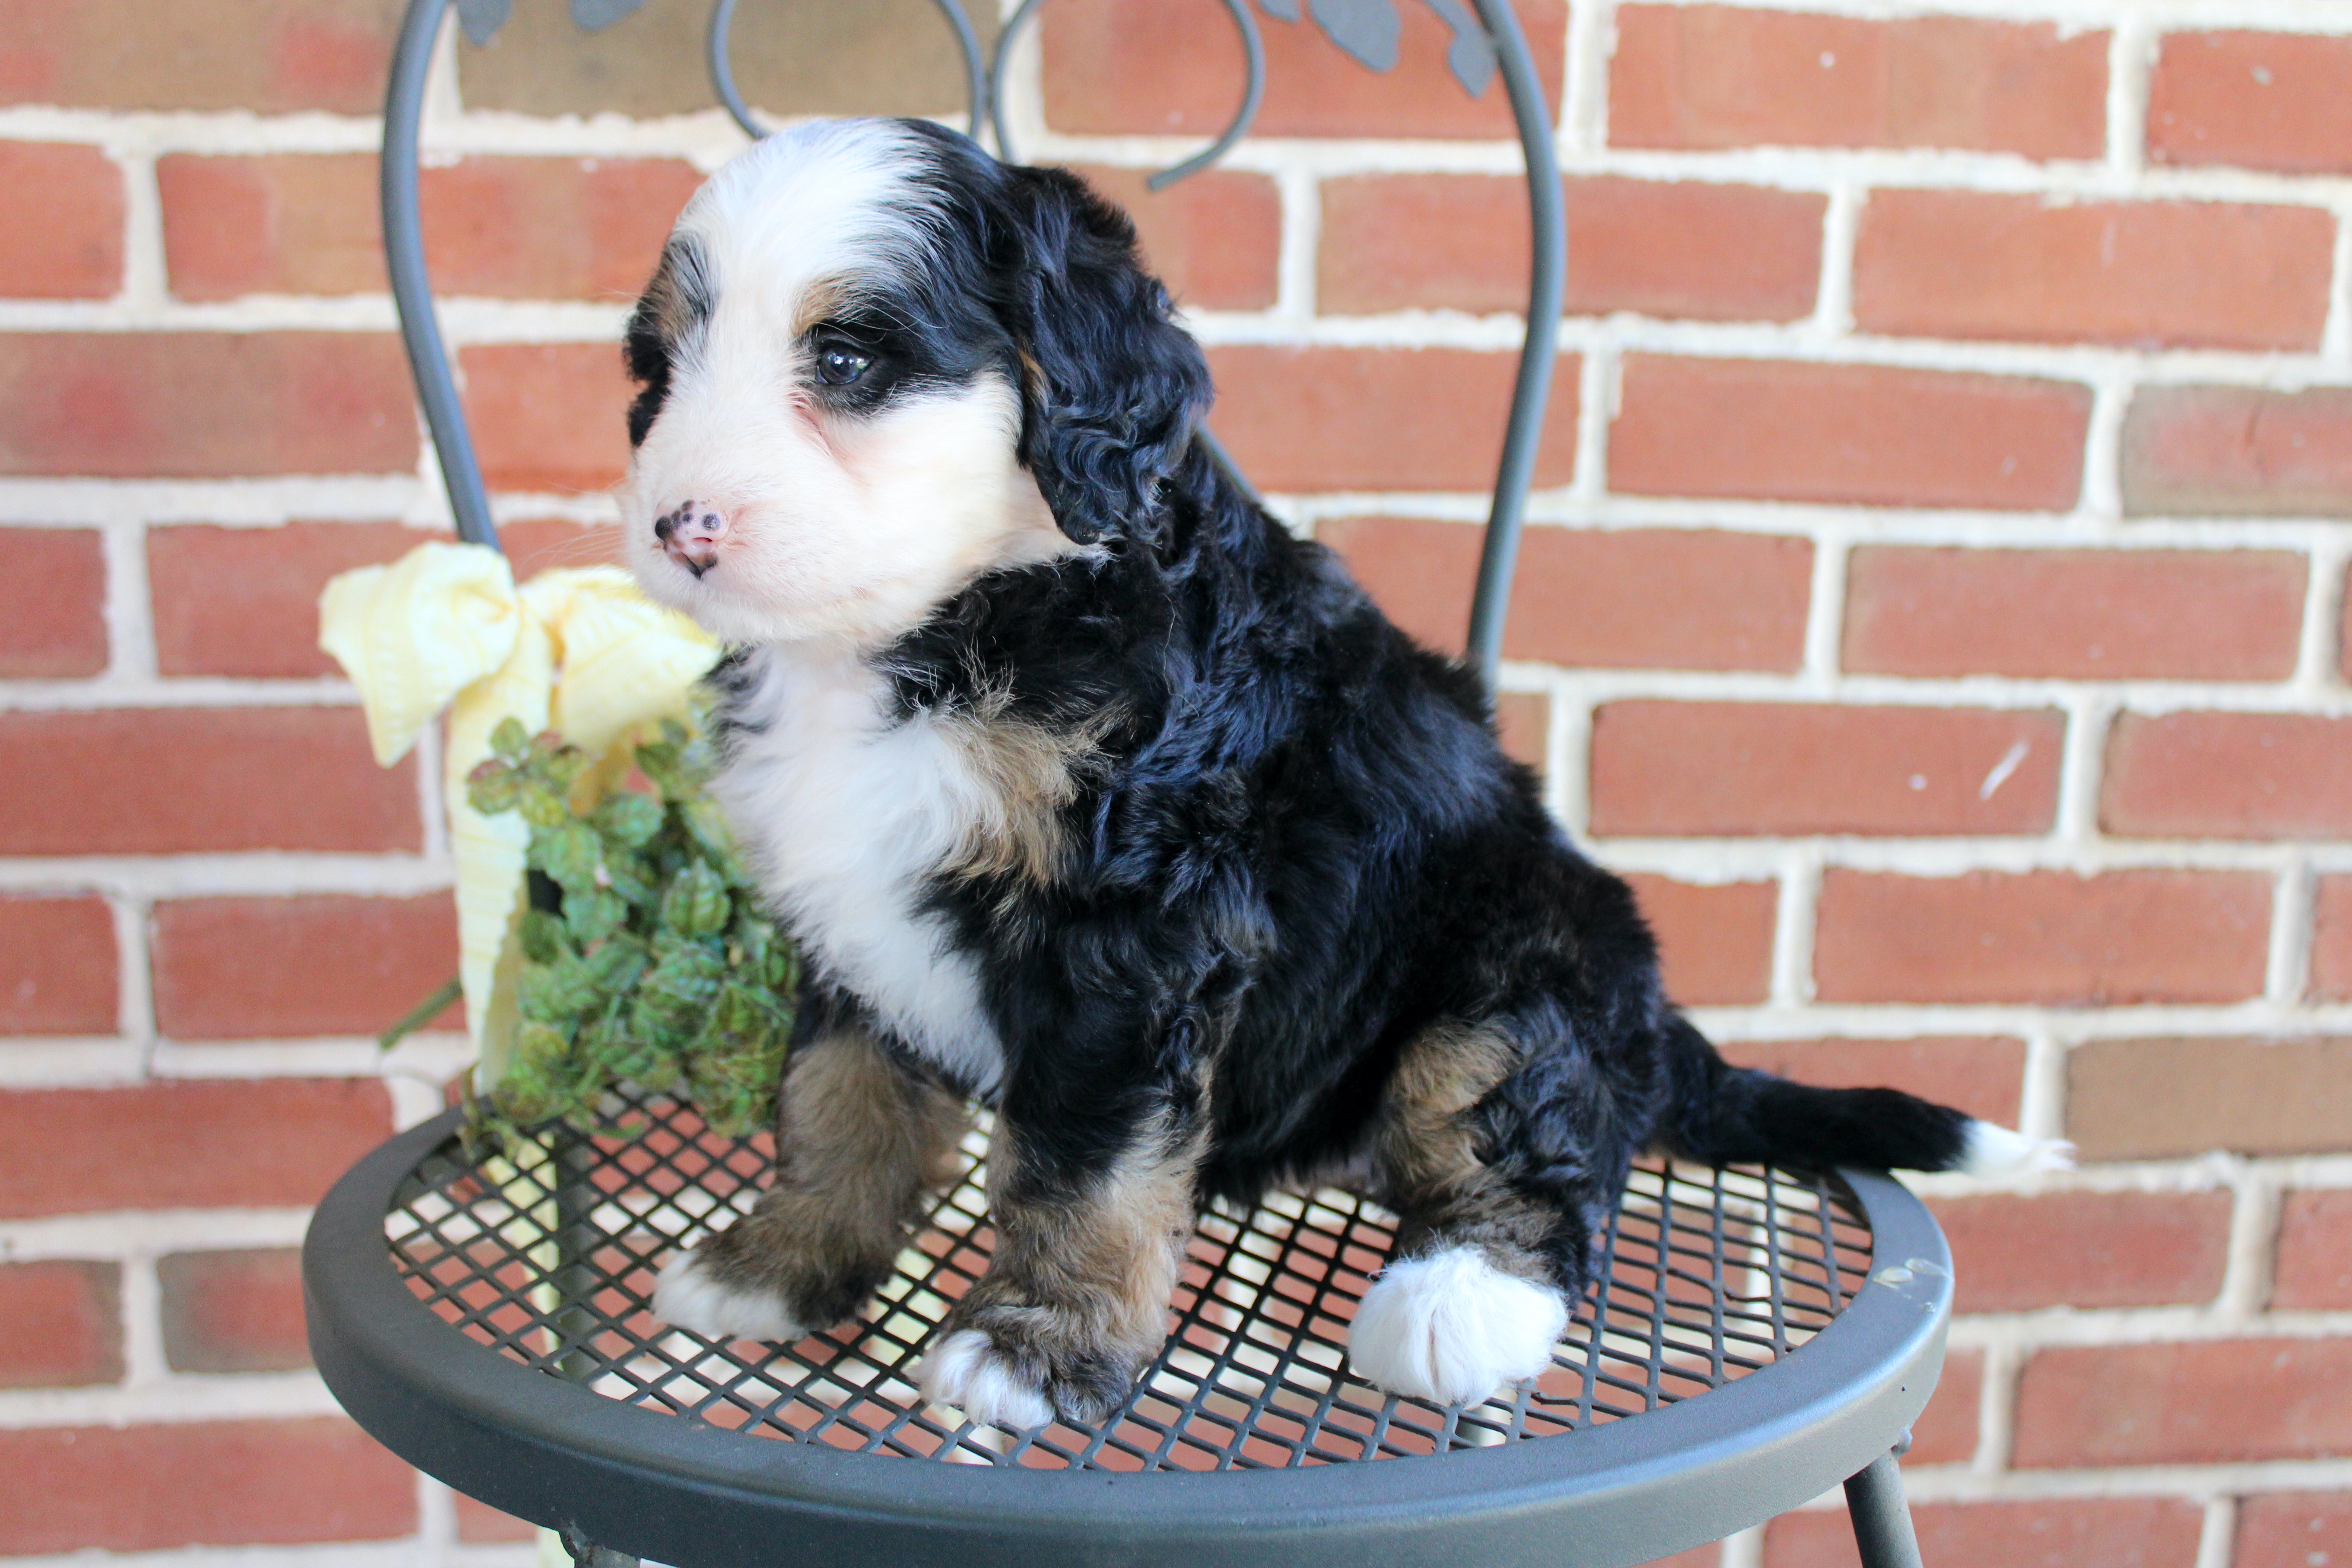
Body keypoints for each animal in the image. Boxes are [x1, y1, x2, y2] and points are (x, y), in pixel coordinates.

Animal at [626, 120, 2060, 1420]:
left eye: (847, 359)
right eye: (657, 367)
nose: (679, 525)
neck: (944, 627)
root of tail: (1658, 1024)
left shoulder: (1136, 934)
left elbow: (1081, 1164)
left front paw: (1037, 1344)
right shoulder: (847, 911)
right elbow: (838, 1095)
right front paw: (784, 1260)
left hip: (1518, 963)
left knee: (1525, 1148)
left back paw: (1455, 1303)